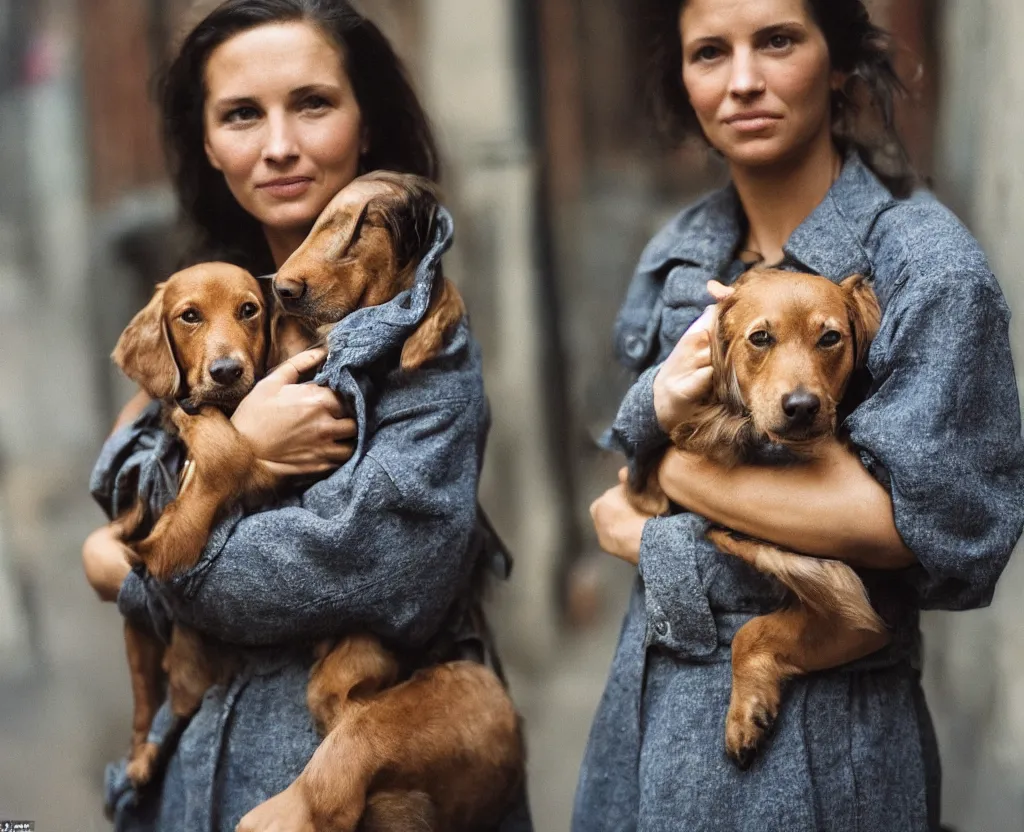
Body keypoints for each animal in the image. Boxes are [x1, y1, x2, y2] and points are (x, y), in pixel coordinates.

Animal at [626, 266, 892, 766]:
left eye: (830, 337)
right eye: (761, 338)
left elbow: (751, 631)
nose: (802, 407)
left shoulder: (863, 622)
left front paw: (744, 713)